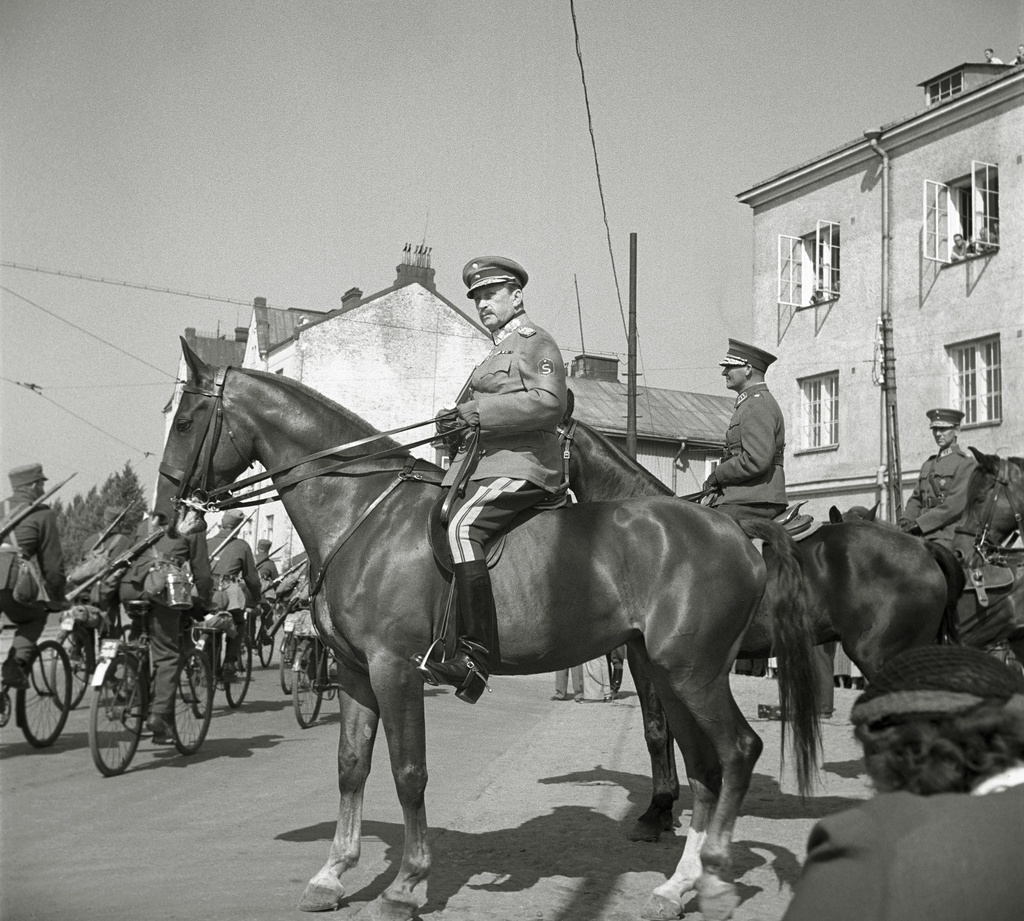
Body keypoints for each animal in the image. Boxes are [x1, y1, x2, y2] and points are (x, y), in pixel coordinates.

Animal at [153, 344, 823, 921]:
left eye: (185, 421)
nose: (166, 516)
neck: (364, 512)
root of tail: (733, 531)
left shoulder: (394, 668)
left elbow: (408, 772)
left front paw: (406, 886)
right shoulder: (353, 671)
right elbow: (350, 766)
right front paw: (332, 873)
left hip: (692, 671)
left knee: (737, 751)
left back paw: (711, 878)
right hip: (667, 670)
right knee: (705, 766)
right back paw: (676, 887)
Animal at [565, 417, 962, 844]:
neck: (641, 532)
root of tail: (923, 548)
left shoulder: (644, 659)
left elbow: (656, 731)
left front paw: (656, 811)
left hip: (883, 658)